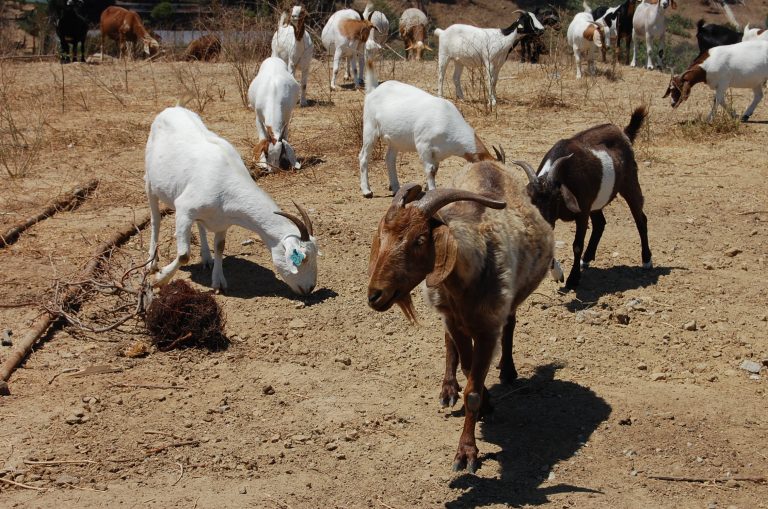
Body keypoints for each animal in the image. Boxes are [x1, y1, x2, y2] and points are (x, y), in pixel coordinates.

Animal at [144, 106, 318, 294]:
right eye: (304, 258)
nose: (309, 288)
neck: (226, 179)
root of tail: (171, 109)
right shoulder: (184, 210)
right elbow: (184, 256)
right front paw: (160, 279)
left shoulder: (222, 221)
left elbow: (220, 247)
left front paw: (218, 282)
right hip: (150, 183)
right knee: (155, 221)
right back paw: (151, 263)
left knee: (200, 225)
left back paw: (207, 258)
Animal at [356, 61, 496, 198]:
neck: (445, 117)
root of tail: (374, 89)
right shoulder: (423, 145)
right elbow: (430, 169)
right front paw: (433, 191)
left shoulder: (437, 153)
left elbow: (436, 169)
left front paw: (428, 188)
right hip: (370, 130)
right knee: (363, 156)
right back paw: (367, 191)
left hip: (394, 140)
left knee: (389, 158)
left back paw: (396, 188)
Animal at [368, 161, 556, 470]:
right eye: (382, 237)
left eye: (420, 239)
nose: (375, 295)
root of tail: (487, 162)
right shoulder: (454, 319)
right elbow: (467, 368)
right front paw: (476, 400)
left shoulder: (489, 329)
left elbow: (474, 391)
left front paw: (466, 452)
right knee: (448, 344)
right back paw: (448, 389)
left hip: (511, 301)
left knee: (511, 324)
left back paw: (507, 369)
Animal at [508, 106, 652, 290]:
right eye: (532, 199)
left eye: (556, 198)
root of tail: (624, 133)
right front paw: (558, 274)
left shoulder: (582, 212)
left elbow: (577, 245)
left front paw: (572, 279)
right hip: (596, 201)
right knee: (600, 224)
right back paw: (587, 258)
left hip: (630, 183)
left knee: (640, 219)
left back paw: (646, 260)